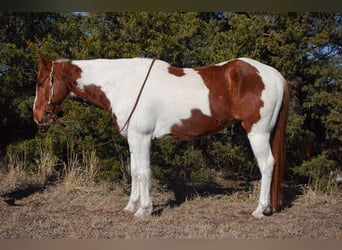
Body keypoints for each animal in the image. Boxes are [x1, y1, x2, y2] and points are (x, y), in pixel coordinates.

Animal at [32, 54, 288, 219]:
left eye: (41, 82)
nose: (37, 116)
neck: (124, 83)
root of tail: (275, 75)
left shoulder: (142, 137)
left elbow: (144, 172)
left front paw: (144, 211)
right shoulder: (133, 138)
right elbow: (134, 171)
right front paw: (130, 207)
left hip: (257, 132)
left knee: (267, 164)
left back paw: (259, 210)